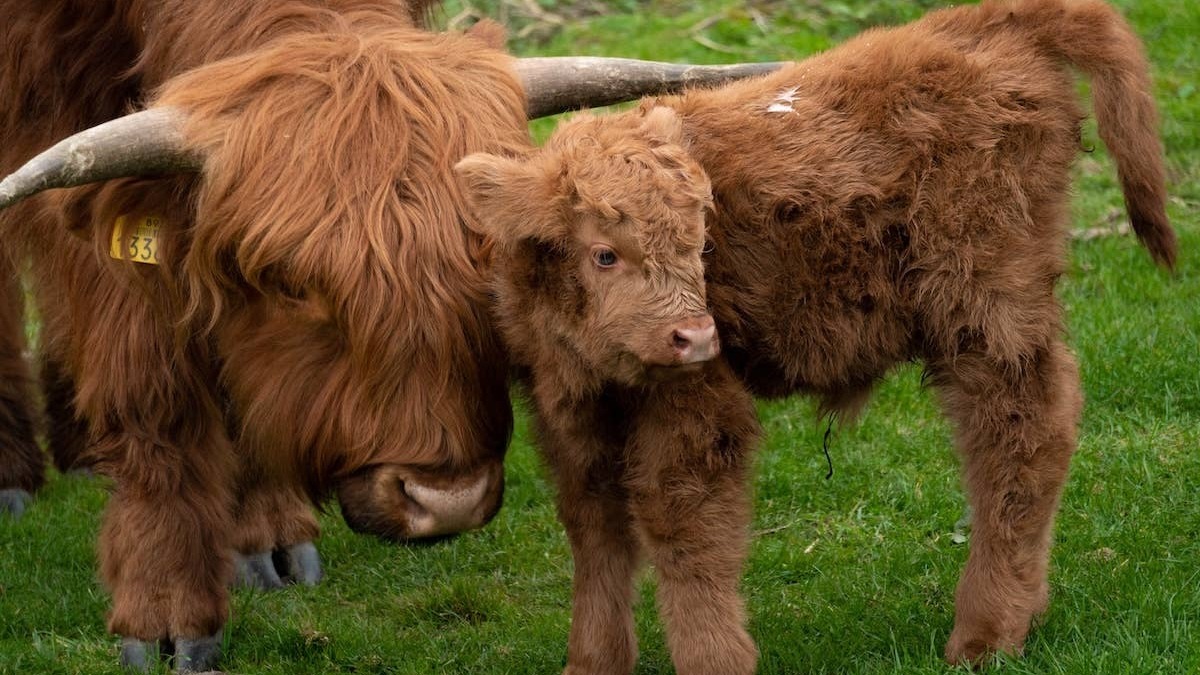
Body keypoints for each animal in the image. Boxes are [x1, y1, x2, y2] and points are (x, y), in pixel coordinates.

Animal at [0, 1, 778, 671]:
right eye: (290, 284)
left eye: (495, 261)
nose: (446, 502)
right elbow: (148, 386)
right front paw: (166, 609)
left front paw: (267, 531)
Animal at [454, 0, 1176, 670]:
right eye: (603, 253)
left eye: (700, 242)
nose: (695, 336)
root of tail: (986, 22)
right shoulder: (569, 418)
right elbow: (596, 528)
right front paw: (591, 661)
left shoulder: (695, 411)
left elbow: (682, 530)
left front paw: (715, 660)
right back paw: (1027, 608)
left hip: (984, 302)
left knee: (1019, 431)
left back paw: (984, 634)